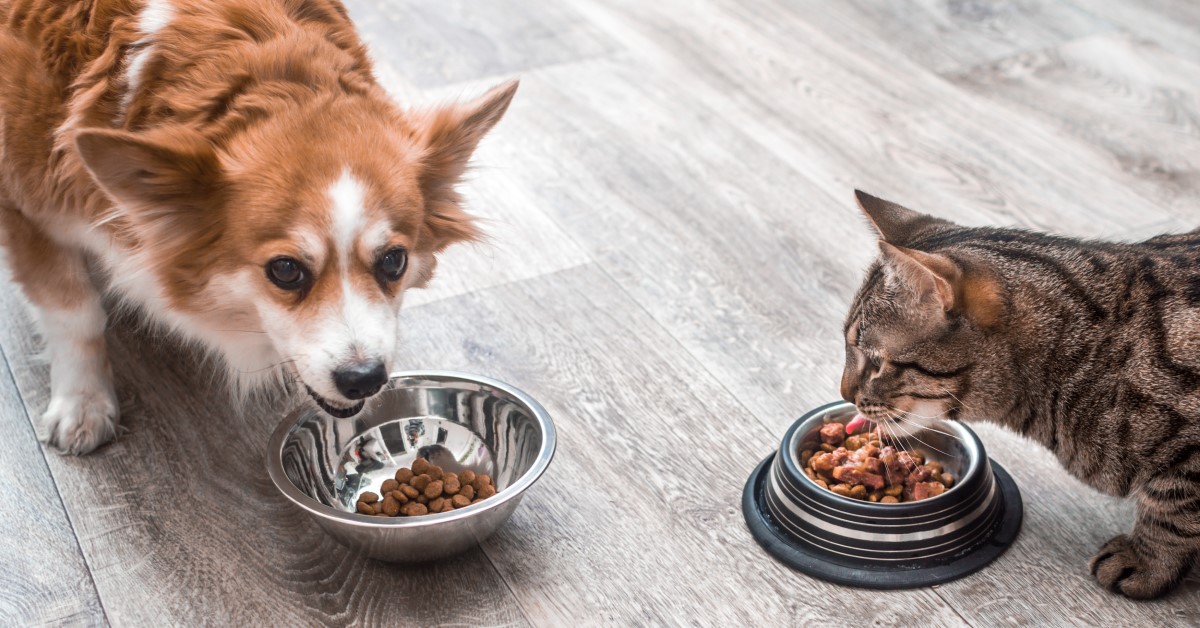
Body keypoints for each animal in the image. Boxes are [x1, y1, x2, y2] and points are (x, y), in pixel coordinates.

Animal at [0, 0, 511, 453]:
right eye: (285, 270)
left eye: (394, 261)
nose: (364, 380)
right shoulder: (24, 211)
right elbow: (75, 313)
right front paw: (83, 403)